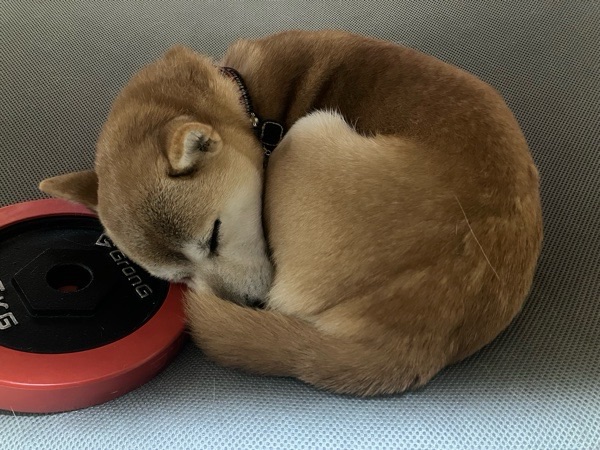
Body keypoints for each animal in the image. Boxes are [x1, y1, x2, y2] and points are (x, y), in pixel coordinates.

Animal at [40, 30, 543, 396]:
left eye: (214, 236)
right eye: (179, 277)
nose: (246, 305)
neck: (247, 98)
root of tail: (418, 343)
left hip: (309, 132)